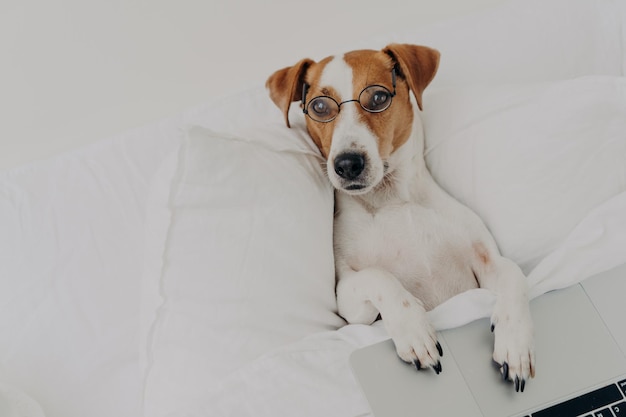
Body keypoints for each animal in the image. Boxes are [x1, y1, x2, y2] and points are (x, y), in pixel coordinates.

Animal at [266, 42, 532, 390]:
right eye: (320, 106)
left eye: (379, 98)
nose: (347, 163)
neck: (392, 201)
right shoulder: (352, 308)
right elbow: (379, 277)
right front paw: (413, 328)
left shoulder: (487, 264)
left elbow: (515, 276)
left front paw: (515, 342)